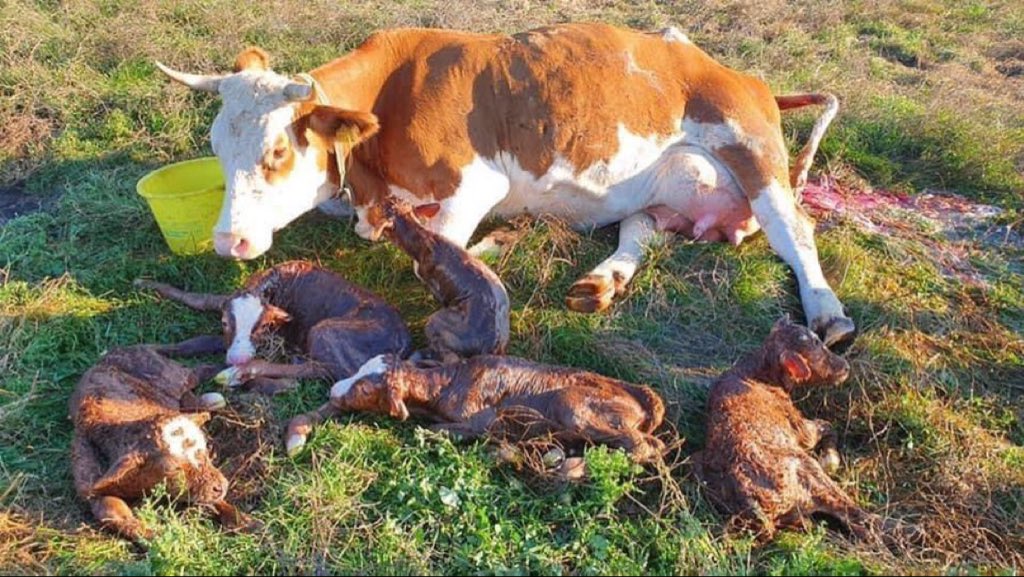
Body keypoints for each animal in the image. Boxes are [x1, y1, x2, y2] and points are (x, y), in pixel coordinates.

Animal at [156, 22, 854, 346]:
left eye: (276, 150)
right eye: (217, 148)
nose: (228, 242)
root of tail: (739, 73)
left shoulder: (473, 187)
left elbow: (442, 251)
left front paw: (489, 249)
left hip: (750, 146)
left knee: (794, 230)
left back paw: (828, 313)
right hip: (669, 186)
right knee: (641, 229)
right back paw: (600, 281)